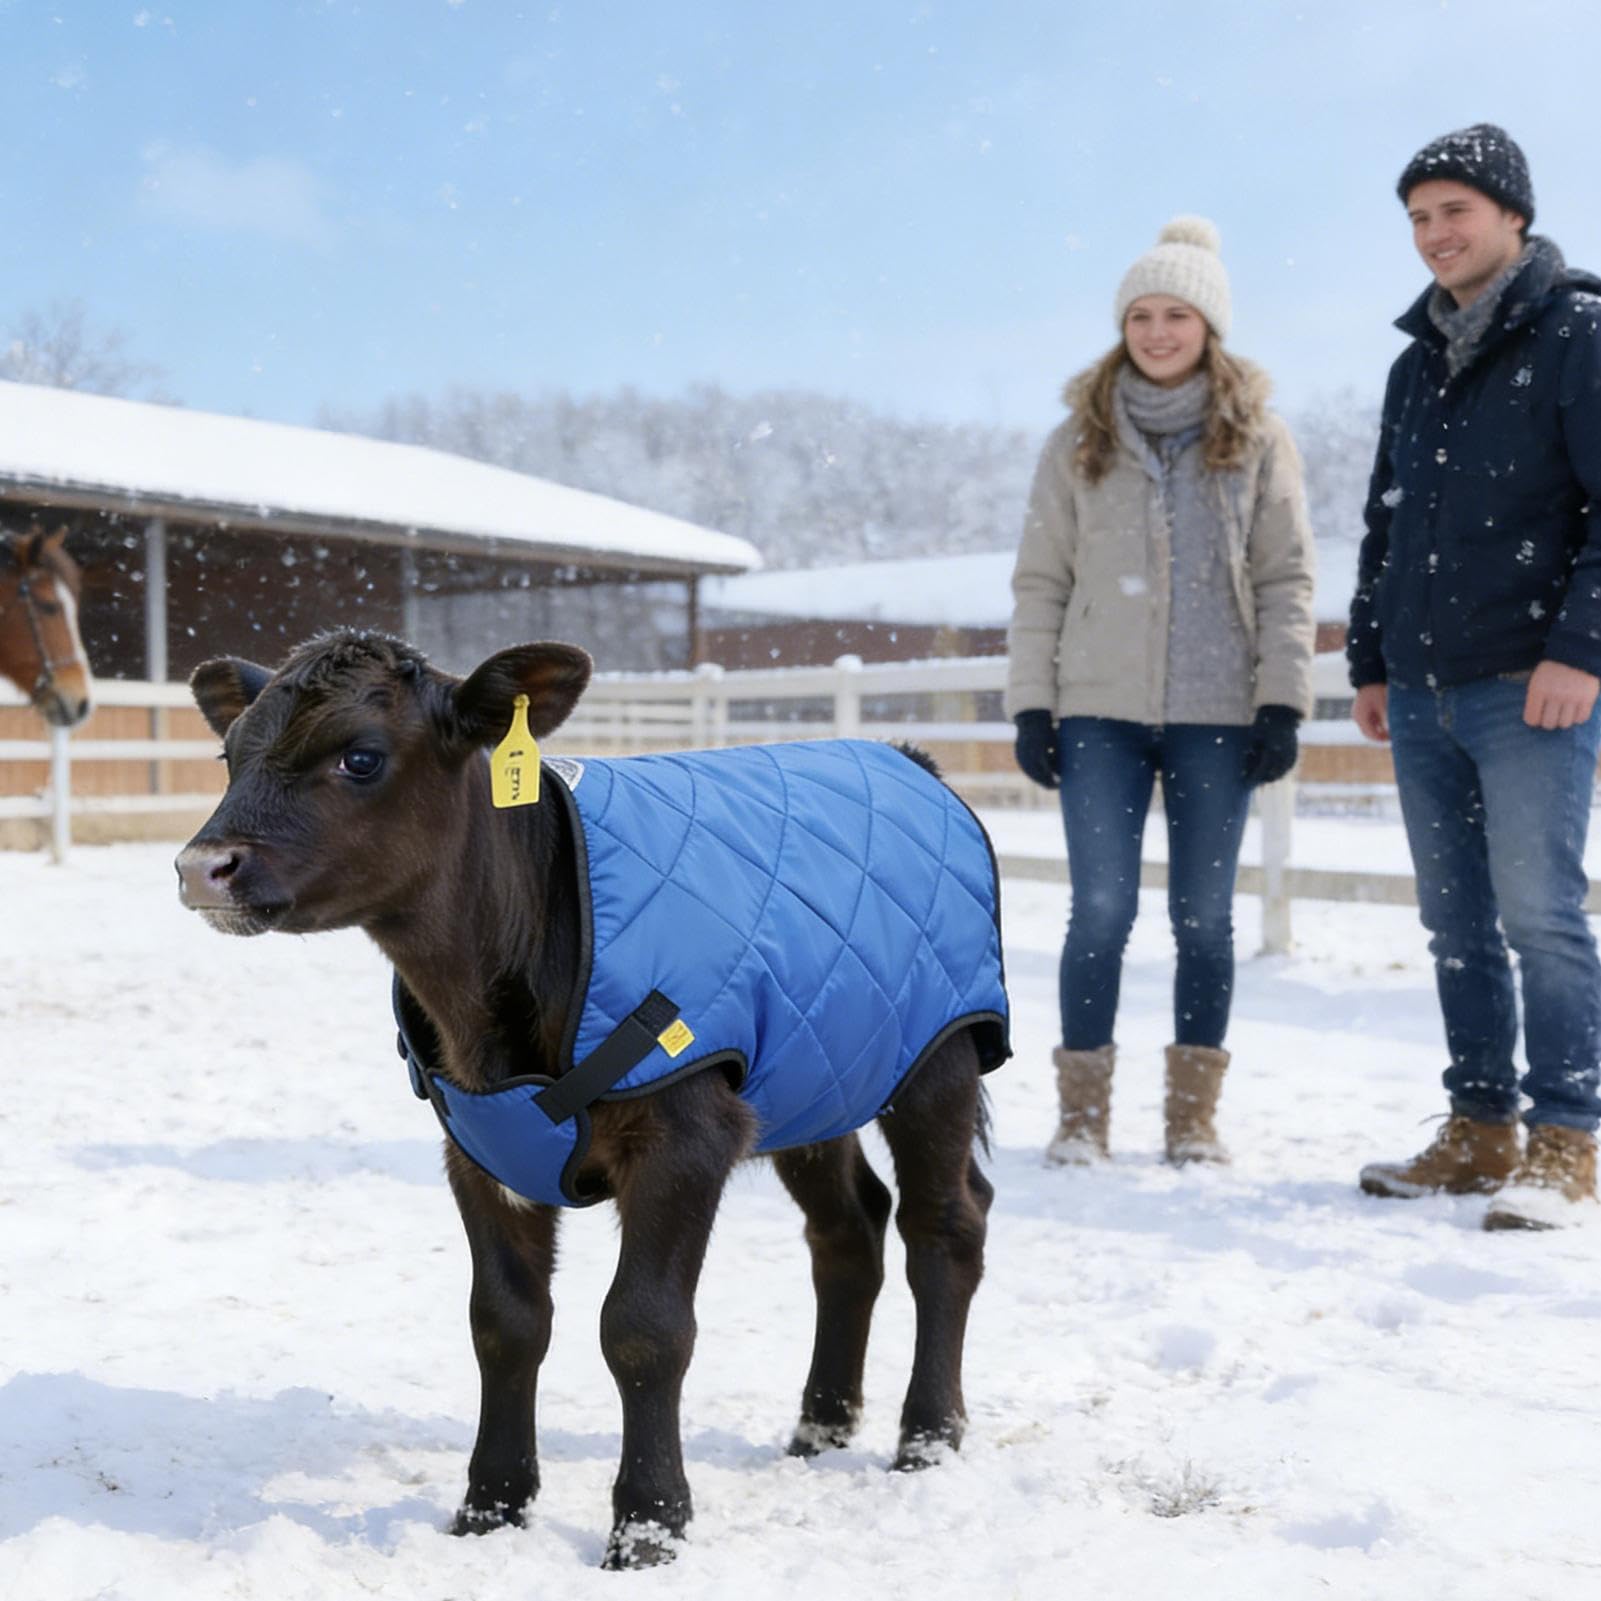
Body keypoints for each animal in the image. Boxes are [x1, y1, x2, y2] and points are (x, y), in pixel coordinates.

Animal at [174, 629, 1008, 1568]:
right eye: (229, 753)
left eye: (360, 756)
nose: (202, 866)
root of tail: (903, 756)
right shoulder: (479, 1148)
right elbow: (504, 1322)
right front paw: (489, 1509)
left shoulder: (686, 1130)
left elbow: (644, 1328)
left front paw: (648, 1527)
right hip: (817, 1074)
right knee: (848, 1228)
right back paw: (819, 1430)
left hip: (935, 1059)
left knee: (943, 1225)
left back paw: (926, 1438)